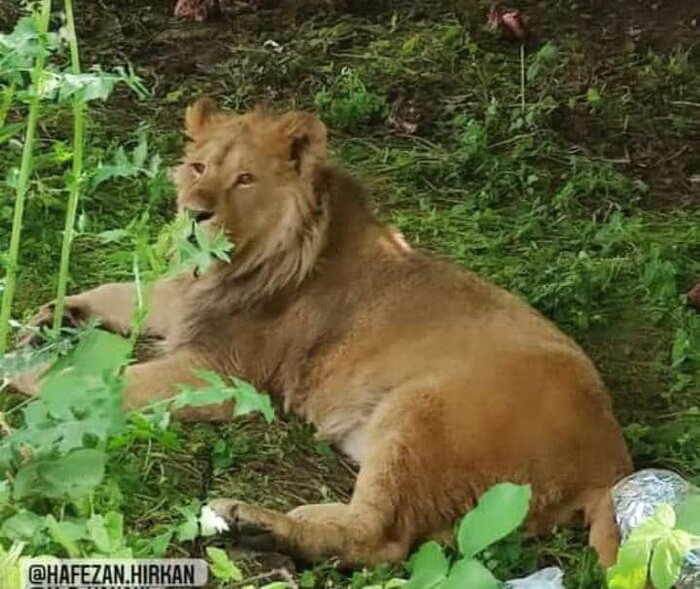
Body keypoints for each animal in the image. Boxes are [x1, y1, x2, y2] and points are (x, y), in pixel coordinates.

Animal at [17, 101, 636, 568]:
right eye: (197, 167)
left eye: (245, 179)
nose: (194, 215)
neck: (239, 265)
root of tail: (610, 458)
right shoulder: (185, 300)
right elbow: (118, 292)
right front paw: (46, 320)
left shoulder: (221, 374)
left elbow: (109, 381)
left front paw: (30, 383)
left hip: (425, 410)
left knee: (378, 539)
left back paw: (250, 524)